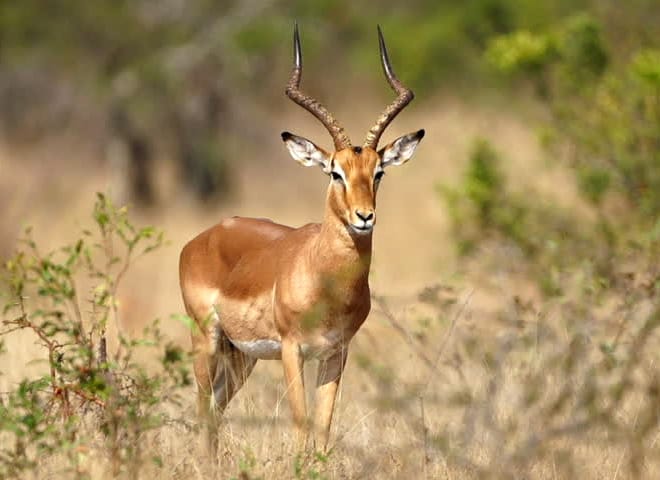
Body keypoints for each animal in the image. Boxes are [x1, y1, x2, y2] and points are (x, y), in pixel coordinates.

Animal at [179, 24, 424, 452]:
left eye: (378, 172)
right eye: (335, 172)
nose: (364, 217)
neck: (326, 280)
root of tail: (204, 237)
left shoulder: (336, 353)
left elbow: (323, 427)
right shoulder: (293, 350)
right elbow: (300, 423)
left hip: (241, 356)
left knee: (216, 411)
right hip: (206, 339)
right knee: (202, 408)